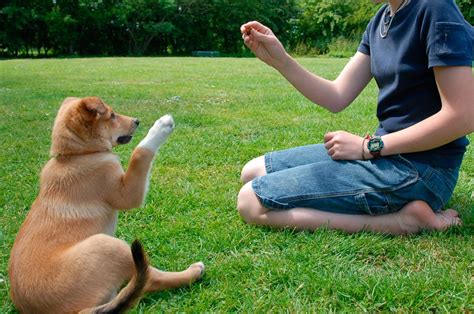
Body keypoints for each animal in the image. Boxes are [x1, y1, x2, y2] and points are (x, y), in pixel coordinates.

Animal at [7, 97, 204, 312]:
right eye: (112, 115)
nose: (137, 121)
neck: (77, 155)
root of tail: (80, 311)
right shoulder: (126, 193)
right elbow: (139, 154)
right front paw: (161, 126)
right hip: (108, 245)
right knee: (150, 279)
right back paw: (193, 271)